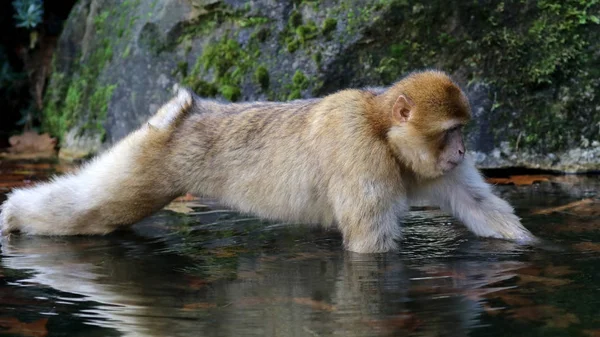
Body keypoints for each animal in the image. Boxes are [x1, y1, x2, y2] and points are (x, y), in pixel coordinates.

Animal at [0, 70, 536, 252]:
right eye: (450, 132)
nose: (462, 151)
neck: (384, 135)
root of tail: (187, 114)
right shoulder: (357, 149)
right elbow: (369, 242)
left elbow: (479, 205)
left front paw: (531, 248)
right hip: (149, 161)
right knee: (94, 209)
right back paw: (14, 215)